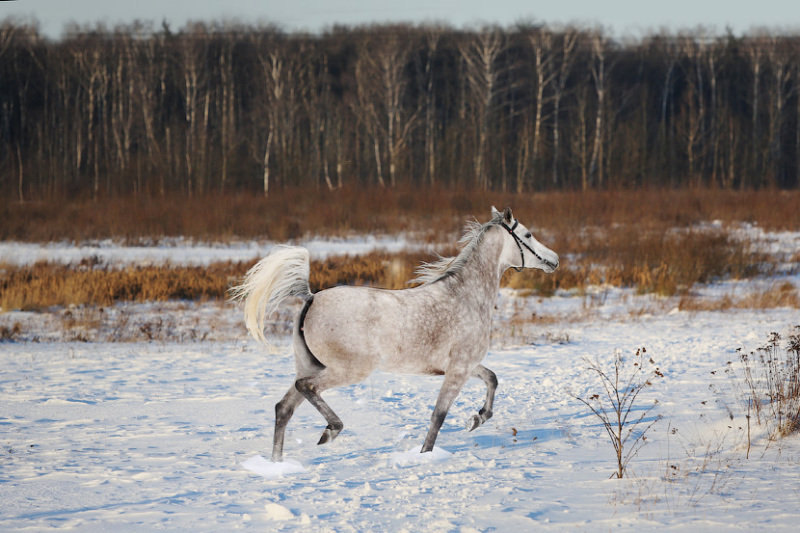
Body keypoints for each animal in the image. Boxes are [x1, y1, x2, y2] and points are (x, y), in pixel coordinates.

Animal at [231, 206, 556, 460]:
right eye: (528, 235)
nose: (554, 260)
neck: (465, 295)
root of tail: (310, 298)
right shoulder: (458, 369)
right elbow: (438, 416)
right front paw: (426, 455)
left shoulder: (463, 365)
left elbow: (492, 379)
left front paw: (476, 419)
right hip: (347, 369)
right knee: (306, 388)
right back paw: (330, 431)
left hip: (310, 364)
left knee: (283, 407)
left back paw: (277, 465)